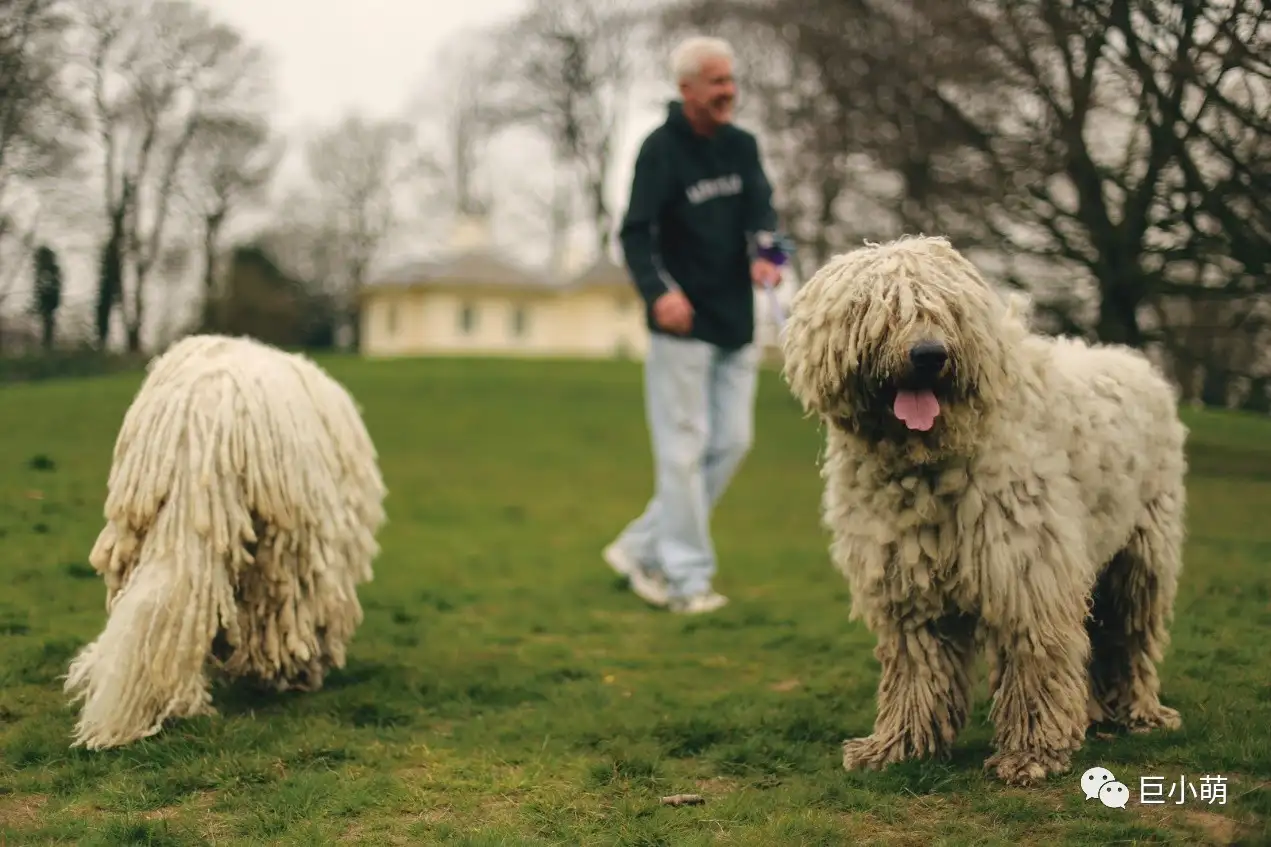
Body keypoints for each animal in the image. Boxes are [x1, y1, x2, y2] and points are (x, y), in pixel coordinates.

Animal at [777, 234, 1184, 783]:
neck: (925, 463)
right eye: (882, 309)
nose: (929, 354)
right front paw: (899, 745)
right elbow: (917, 669)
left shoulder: (1027, 573)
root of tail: (1137, 364)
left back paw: (1138, 712)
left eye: (947, 309)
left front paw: (1031, 752)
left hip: (1140, 552)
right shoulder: (908, 583)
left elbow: (1033, 658)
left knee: (1130, 635)